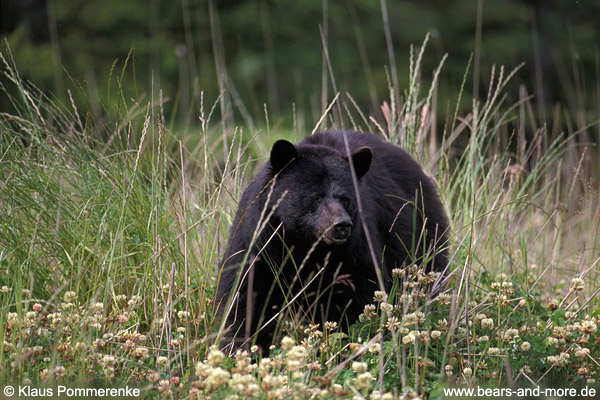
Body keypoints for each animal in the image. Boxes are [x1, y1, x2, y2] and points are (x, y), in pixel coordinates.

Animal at [214, 131, 446, 350]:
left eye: (346, 199)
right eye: (315, 196)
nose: (342, 224)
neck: (304, 246)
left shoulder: (355, 254)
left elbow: (357, 299)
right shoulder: (258, 244)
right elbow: (244, 298)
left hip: (424, 238)